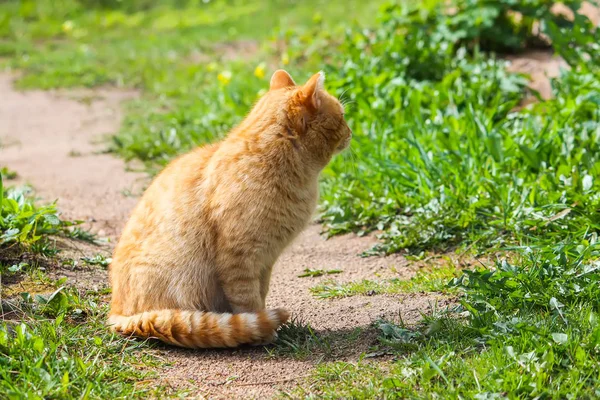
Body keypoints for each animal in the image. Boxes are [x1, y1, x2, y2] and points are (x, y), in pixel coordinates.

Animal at [108, 70, 352, 348]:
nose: (351, 132)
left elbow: (261, 294)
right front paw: (263, 332)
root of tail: (116, 313)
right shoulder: (240, 257)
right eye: (342, 115)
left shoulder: (266, 260)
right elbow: (248, 301)